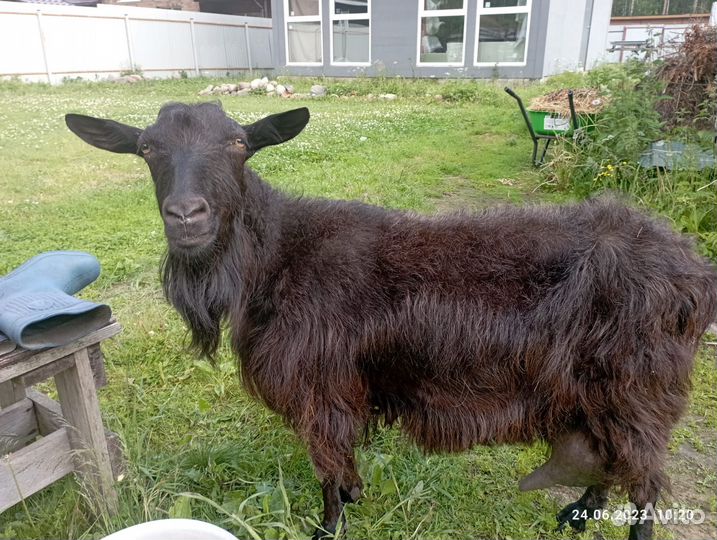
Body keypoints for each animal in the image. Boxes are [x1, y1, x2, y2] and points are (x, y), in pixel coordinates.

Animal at [66, 103, 717, 540]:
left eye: (238, 144)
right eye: (147, 149)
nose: (186, 216)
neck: (275, 257)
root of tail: (694, 271)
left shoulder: (321, 389)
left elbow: (326, 466)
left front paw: (329, 527)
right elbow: (342, 464)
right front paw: (354, 499)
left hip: (639, 385)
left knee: (645, 476)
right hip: (601, 388)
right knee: (611, 455)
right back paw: (577, 514)